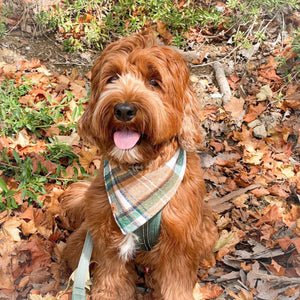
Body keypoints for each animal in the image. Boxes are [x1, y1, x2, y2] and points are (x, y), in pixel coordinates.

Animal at [62, 32, 218, 300]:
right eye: (113, 77)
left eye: (154, 81)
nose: (124, 109)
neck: (139, 169)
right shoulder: (108, 234)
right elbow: (111, 279)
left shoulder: (179, 241)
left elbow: (176, 285)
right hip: (80, 243)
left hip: (206, 229)